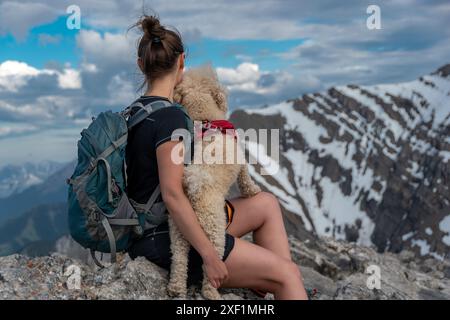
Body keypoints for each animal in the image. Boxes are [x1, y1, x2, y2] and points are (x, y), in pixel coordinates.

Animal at [168, 65, 262, 300]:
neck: (205, 118)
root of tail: (194, 188)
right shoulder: (241, 160)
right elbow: (246, 178)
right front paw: (254, 191)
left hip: (178, 230)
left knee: (179, 259)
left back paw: (175, 288)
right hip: (215, 232)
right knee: (209, 267)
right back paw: (212, 293)